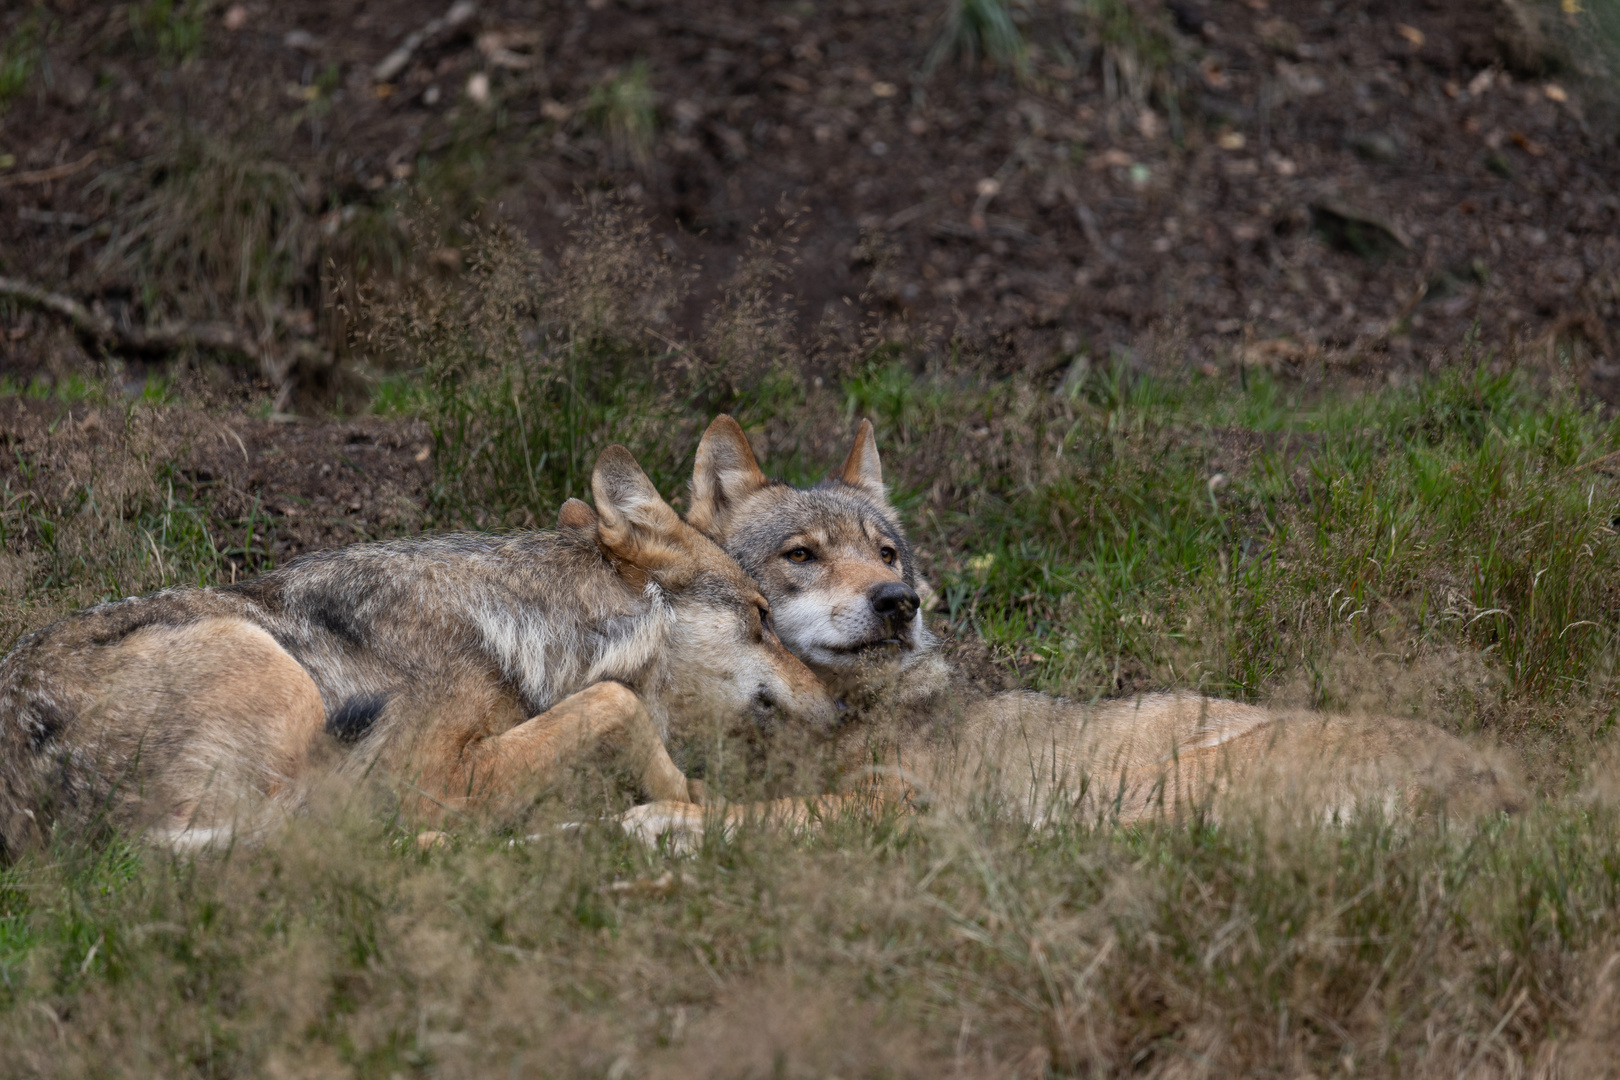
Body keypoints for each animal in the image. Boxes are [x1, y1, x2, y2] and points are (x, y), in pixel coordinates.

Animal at [0, 443, 835, 854]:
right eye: (762, 616)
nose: (841, 703)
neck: (524, 628)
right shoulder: (430, 775)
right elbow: (616, 703)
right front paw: (687, 795)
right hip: (275, 678)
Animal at [612, 417, 1522, 841]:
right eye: (802, 554)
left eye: (886, 554)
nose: (899, 603)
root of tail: (1503, 788)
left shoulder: (895, 801)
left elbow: (771, 814)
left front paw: (664, 825)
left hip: (1162, 783)